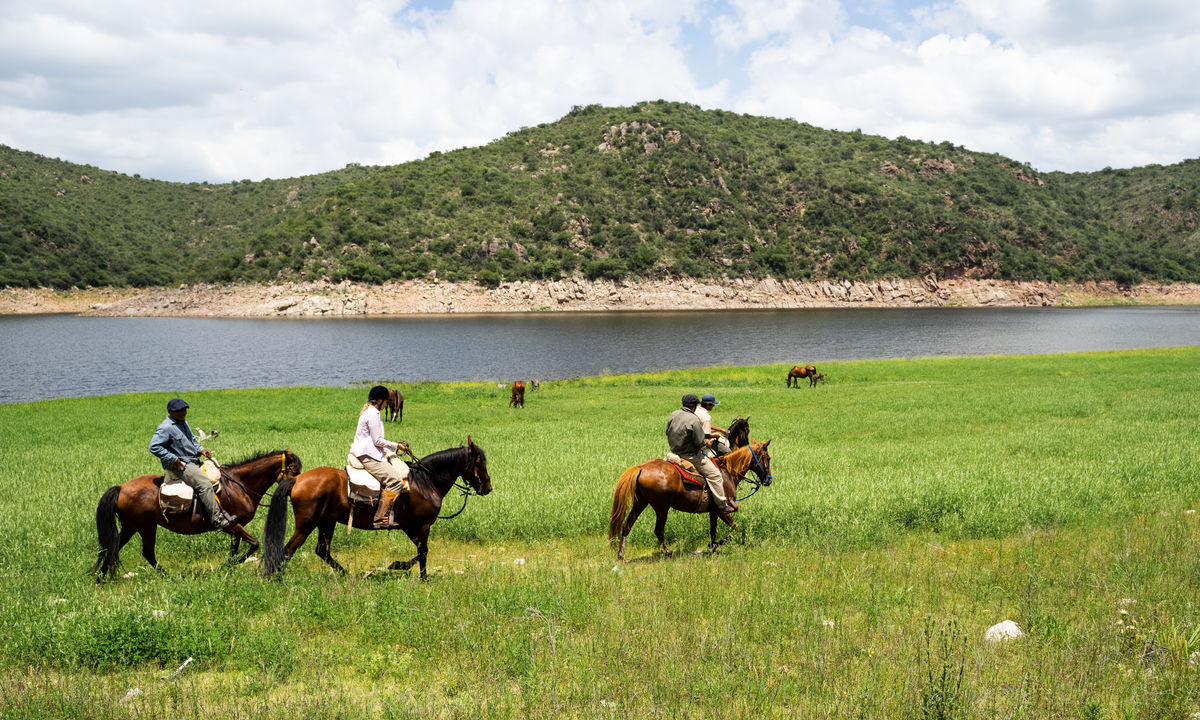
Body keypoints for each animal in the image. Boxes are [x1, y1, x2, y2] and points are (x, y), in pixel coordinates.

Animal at [95, 451, 302, 578]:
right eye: (294, 469)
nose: (297, 487)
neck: (239, 484)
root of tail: (121, 487)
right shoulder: (231, 525)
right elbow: (254, 544)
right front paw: (229, 565)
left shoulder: (236, 526)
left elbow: (237, 548)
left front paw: (229, 566)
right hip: (145, 527)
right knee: (146, 553)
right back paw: (168, 576)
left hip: (131, 526)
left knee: (113, 547)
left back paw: (101, 577)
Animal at [260, 439, 489, 578]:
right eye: (479, 462)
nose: (488, 487)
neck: (425, 481)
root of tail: (297, 479)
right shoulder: (422, 525)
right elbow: (423, 551)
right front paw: (418, 576)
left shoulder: (409, 526)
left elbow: (420, 550)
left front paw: (400, 566)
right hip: (307, 524)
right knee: (288, 550)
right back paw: (274, 578)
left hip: (326, 522)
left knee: (321, 550)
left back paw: (346, 575)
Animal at [604, 439, 772, 561]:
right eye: (768, 458)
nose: (769, 479)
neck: (728, 472)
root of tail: (641, 468)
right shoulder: (722, 509)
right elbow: (734, 529)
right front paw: (715, 545)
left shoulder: (713, 511)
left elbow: (713, 531)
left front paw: (712, 546)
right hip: (661, 508)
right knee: (658, 530)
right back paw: (668, 552)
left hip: (640, 503)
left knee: (627, 526)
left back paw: (621, 555)